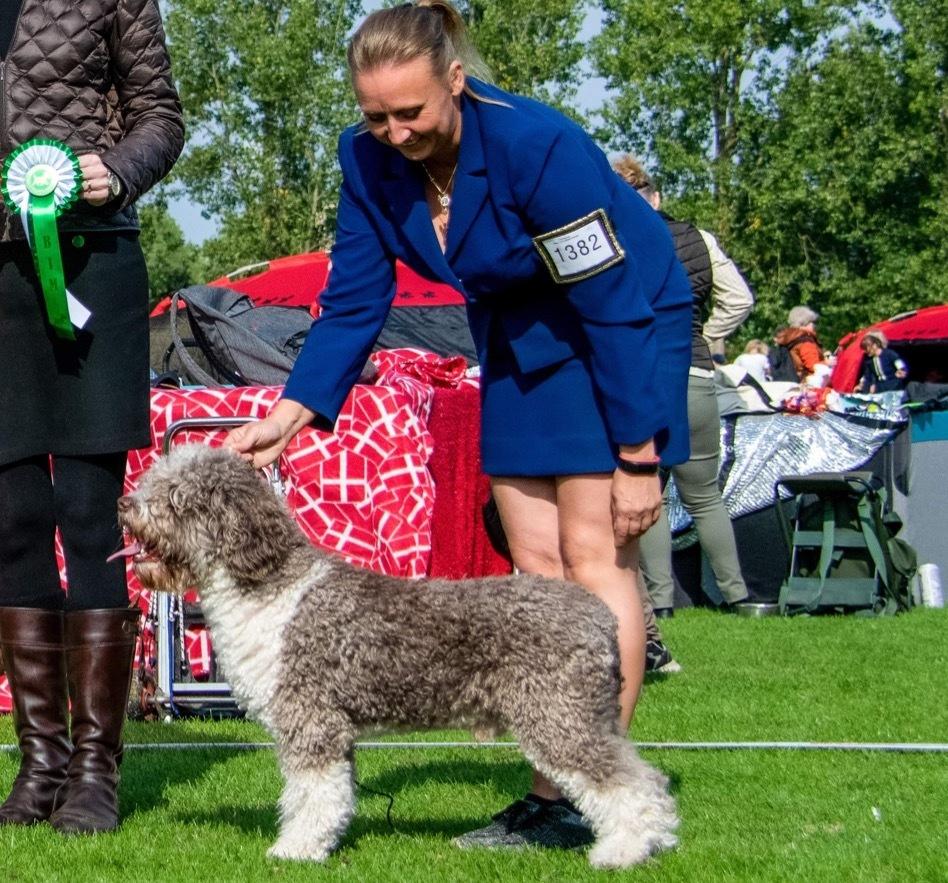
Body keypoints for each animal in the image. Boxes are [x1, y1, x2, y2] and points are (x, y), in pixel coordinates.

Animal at [116, 446, 680, 868]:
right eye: (154, 480)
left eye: (177, 497)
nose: (125, 504)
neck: (267, 587)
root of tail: (600, 615)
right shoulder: (334, 728)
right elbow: (327, 795)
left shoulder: (312, 719)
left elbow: (313, 794)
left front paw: (295, 850)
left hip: (560, 715)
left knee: (630, 781)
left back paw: (628, 849)